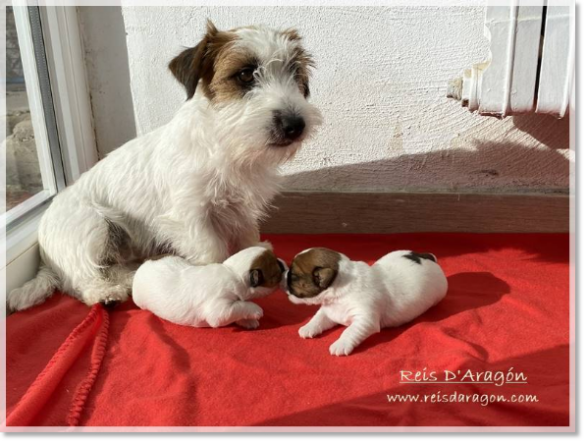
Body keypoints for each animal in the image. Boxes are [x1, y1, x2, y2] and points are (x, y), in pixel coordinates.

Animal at [8, 21, 320, 312]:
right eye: (244, 74)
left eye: (296, 73)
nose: (295, 125)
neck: (226, 143)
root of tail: (46, 257)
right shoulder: (190, 216)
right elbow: (212, 251)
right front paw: (216, 278)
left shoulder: (240, 210)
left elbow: (247, 237)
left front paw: (254, 254)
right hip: (92, 226)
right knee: (77, 279)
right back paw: (104, 293)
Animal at [133, 246, 288, 330]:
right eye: (278, 269)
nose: (284, 263)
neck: (232, 271)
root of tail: (145, 263)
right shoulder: (220, 308)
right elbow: (237, 308)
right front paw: (256, 311)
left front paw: (247, 321)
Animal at [286, 250, 448, 358]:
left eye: (293, 276)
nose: (284, 275)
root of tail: (428, 258)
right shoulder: (328, 311)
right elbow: (318, 318)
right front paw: (308, 327)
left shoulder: (365, 319)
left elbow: (349, 331)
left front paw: (341, 344)